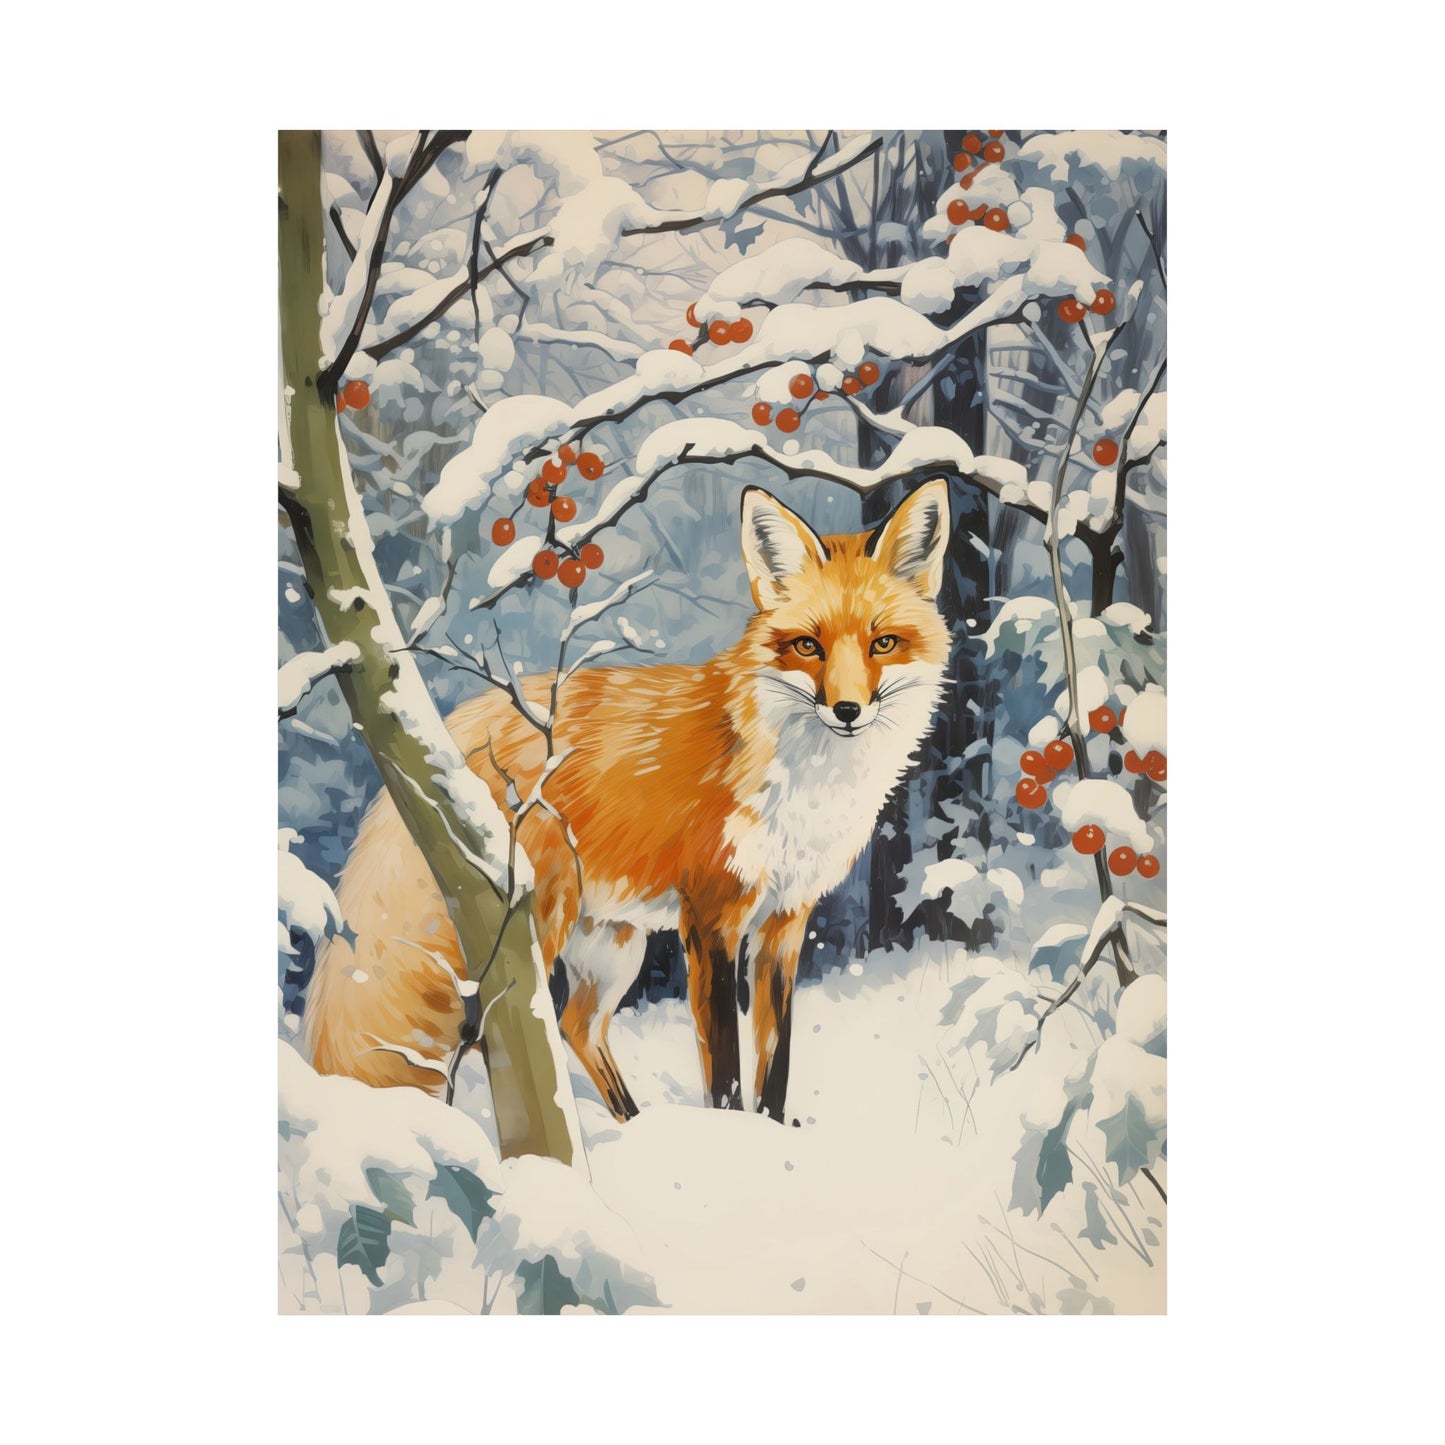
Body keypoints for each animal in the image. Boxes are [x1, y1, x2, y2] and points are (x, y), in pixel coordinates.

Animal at [305, 479, 952, 1125]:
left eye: (883, 643)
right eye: (807, 646)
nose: (847, 711)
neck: (806, 783)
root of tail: (447, 732)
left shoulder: (786, 921)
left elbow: (775, 1065)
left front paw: (766, 1134)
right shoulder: (711, 916)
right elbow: (724, 1069)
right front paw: (730, 1138)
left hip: (613, 942)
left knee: (576, 1027)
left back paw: (634, 1127)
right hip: (535, 920)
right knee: (503, 1034)